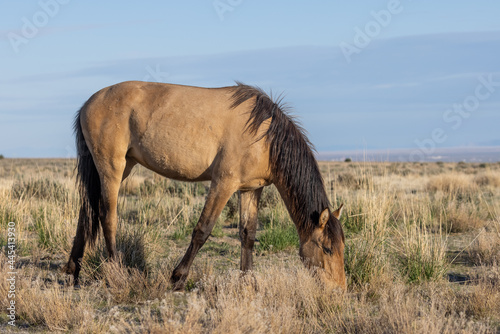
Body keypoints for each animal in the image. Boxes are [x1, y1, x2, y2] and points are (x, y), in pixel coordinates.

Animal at [64, 80, 346, 290]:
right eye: (327, 248)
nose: (338, 290)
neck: (265, 136)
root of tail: (88, 103)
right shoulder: (223, 183)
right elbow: (203, 230)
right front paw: (178, 278)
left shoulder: (251, 189)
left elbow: (248, 235)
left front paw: (248, 282)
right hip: (112, 167)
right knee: (107, 215)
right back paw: (116, 272)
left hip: (122, 167)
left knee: (87, 210)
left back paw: (73, 271)